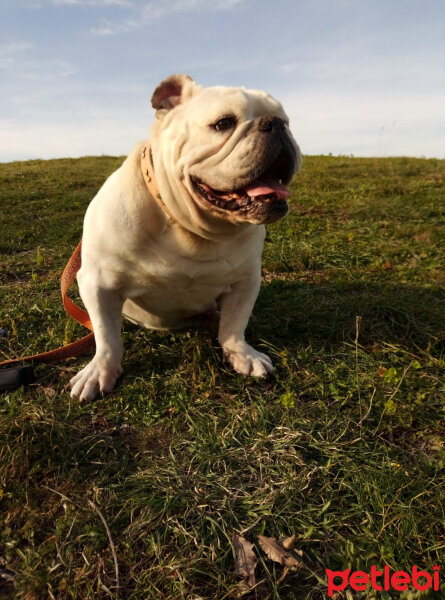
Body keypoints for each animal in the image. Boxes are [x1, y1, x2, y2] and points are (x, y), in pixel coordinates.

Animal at [69, 76, 300, 404]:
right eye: (224, 123)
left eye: (287, 121)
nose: (276, 124)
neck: (189, 226)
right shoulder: (97, 282)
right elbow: (106, 335)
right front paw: (101, 371)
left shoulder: (246, 280)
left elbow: (234, 324)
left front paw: (241, 354)